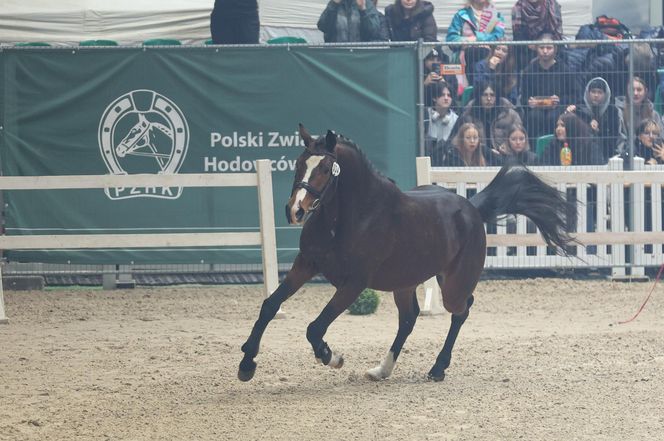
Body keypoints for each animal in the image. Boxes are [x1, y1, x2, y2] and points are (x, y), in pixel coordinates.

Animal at [239, 124, 576, 382]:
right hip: (404, 282)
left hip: (452, 284)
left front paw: (331, 356)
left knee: (461, 310)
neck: (350, 216)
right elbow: (270, 306)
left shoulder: (354, 283)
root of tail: (471, 207)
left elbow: (316, 327)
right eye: (299, 163)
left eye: (324, 168)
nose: (294, 210)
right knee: (409, 319)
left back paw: (437, 369)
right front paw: (246, 364)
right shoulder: (306, 264)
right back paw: (381, 370)